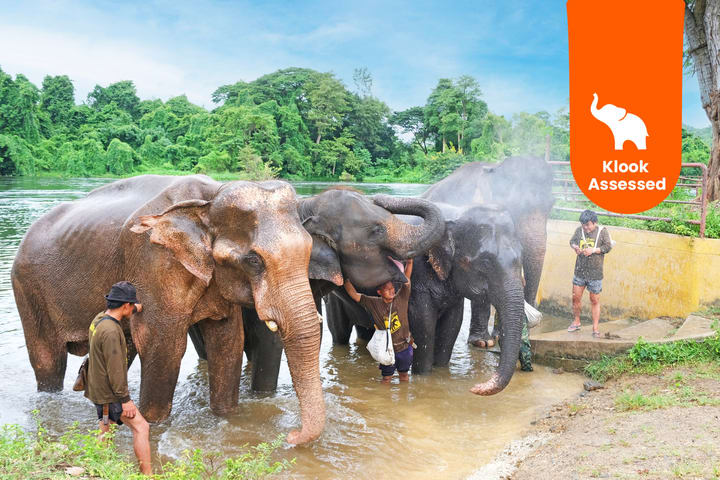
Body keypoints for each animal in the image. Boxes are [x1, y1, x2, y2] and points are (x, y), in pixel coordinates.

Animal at [11, 175, 325, 444]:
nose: (290, 435)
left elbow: (228, 342)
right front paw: (153, 425)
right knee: (47, 361)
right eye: (254, 260)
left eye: (310, 249)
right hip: (28, 290)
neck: (211, 197)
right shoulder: (154, 263)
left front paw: (226, 418)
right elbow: (163, 346)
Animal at [325, 203, 525, 395]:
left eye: (520, 259)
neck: (454, 215)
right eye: (485, 263)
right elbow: (424, 325)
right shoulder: (418, 283)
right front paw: (423, 376)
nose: (474, 388)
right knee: (339, 334)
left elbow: (452, 325)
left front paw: (441, 370)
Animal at [421, 155, 554, 348]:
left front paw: (498, 336)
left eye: (551, 206)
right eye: (514, 206)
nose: (533, 322)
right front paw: (483, 342)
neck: (494, 168)